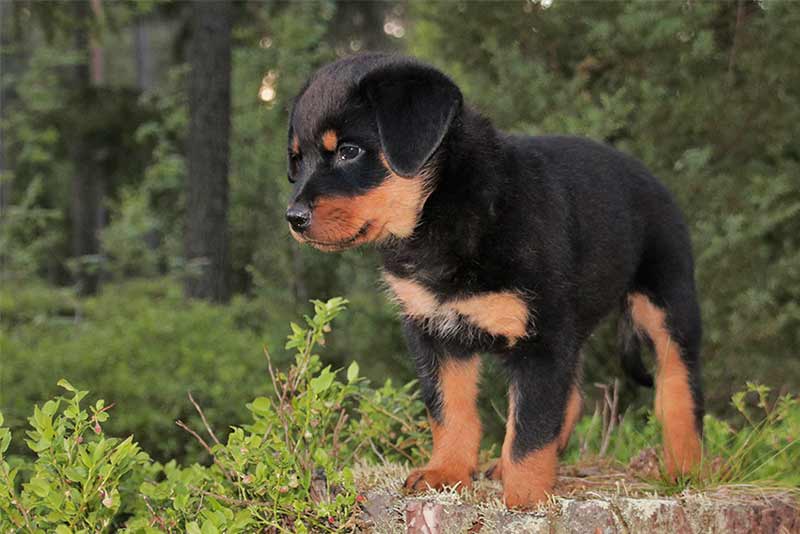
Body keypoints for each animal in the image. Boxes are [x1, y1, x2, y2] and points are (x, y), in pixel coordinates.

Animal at [284, 54, 704, 510]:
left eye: (348, 151)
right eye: (297, 161)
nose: (294, 218)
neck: (442, 211)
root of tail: (653, 179)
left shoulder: (542, 339)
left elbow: (529, 430)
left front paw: (525, 499)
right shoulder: (433, 331)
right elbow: (450, 411)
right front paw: (446, 473)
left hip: (667, 303)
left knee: (679, 386)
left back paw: (684, 467)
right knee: (573, 398)